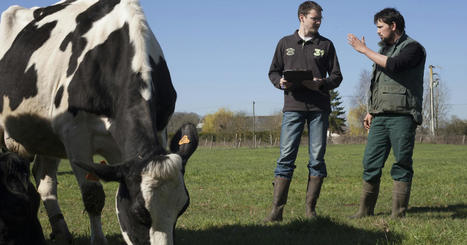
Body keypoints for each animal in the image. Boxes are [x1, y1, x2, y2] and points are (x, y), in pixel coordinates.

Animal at [0, 0, 197, 245]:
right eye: (139, 213)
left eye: (183, 207)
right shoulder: (75, 133)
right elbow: (93, 195)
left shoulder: (159, 128)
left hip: (46, 137)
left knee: (44, 181)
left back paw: (62, 232)